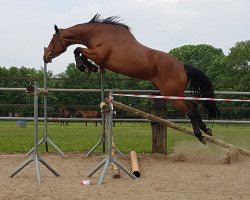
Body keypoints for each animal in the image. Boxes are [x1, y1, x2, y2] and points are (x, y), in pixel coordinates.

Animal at [44, 14, 220, 145]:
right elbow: (80, 51)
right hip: (177, 92)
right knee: (194, 106)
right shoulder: (97, 56)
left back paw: (201, 135)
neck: (98, 34)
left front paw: (84, 66)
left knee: (190, 109)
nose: (45, 57)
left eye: (52, 40)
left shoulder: (98, 54)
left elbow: (77, 49)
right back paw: (206, 129)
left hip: (172, 93)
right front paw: (90, 67)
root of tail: (182, 66)